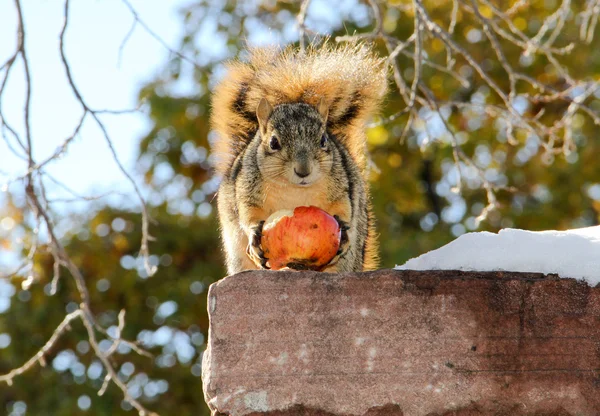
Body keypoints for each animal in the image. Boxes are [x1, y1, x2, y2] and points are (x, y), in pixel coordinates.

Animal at [211, 44, 390, 274]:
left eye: (323, 140)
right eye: (273, 143)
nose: (303, 171)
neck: (294, 189)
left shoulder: (341, 184)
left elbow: (343, 206)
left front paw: (344, 228)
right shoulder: (247, 185)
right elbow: (248, 211)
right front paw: (253, 235)